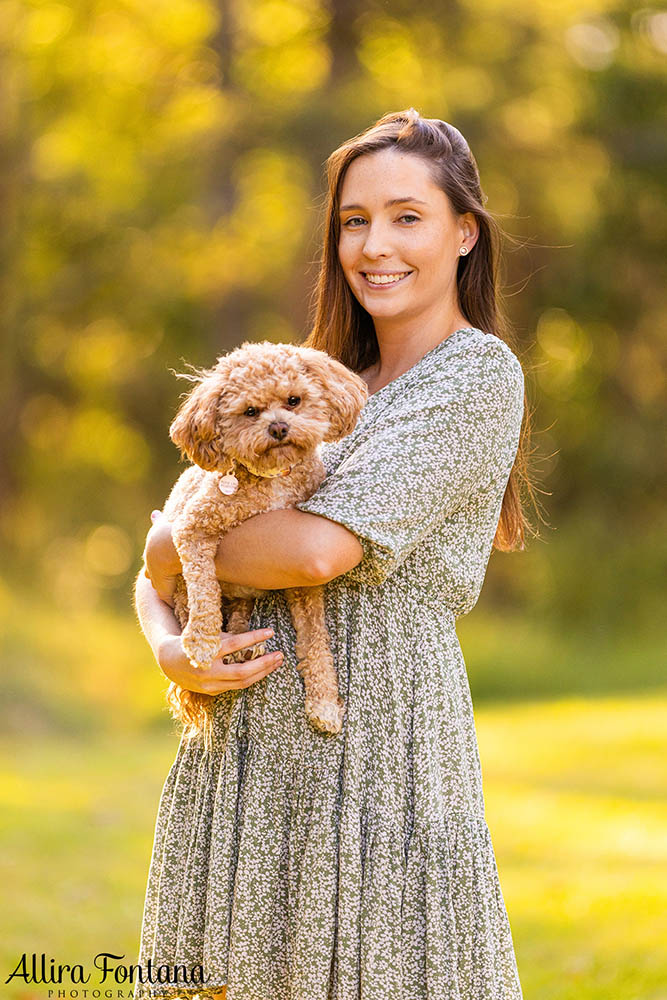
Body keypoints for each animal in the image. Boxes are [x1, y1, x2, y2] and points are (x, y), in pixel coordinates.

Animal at [160, 340, 370, 748]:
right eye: (250, 411)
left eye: (293, 400)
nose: (278, 427)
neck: (274, 478)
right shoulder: (193, 528)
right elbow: (204, 589)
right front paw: (204, 640)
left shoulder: (303, 583)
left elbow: (316, 641)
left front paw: (324, 703)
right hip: (180, 592)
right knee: (195, 605)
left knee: (241, 612)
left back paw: (246, 644)